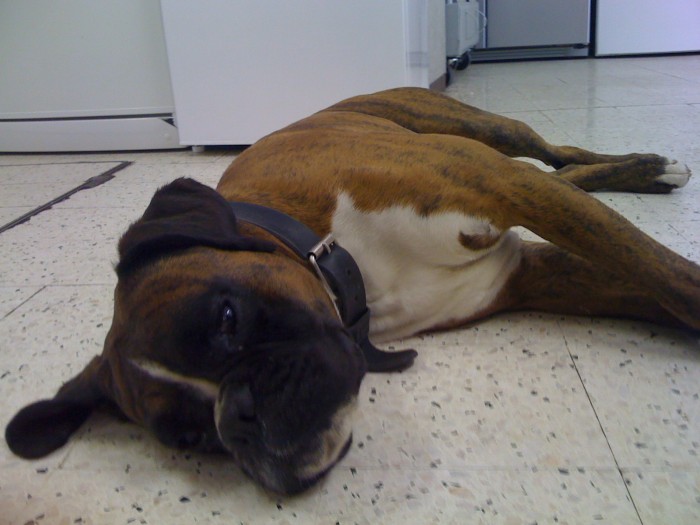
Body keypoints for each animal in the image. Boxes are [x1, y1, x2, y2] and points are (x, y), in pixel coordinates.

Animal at [5, 88, 699, 495]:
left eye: (227, 317)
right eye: (191, 439)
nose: (238, 418)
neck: (344, 255)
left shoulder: (501, 188)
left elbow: (666, 274)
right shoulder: (530, 274)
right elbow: (645, 282)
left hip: (488, 133)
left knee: (556, 153)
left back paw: (654, 168)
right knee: (572, 174)